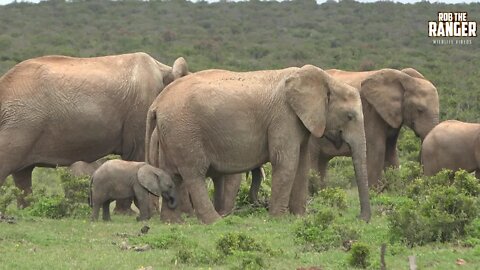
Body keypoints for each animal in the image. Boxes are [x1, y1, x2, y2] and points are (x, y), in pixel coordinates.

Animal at [0, 53, 189, 209]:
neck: (164, 70)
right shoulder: (141, 109)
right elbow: (136, 156)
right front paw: (126, 213)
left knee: (22, 174)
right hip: (21, 122)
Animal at [145, 65, 372, 224]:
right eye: (350, 116)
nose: (360, 219)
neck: (327, 80)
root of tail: (156, 103)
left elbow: (302, 164)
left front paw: (299, 217)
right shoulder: (284, 117)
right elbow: (286, 162)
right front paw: (278, 219)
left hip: (172, 133)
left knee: (171, 175)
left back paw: (172, 223)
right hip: (185, 131)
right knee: (194, 174)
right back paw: (216, 222)